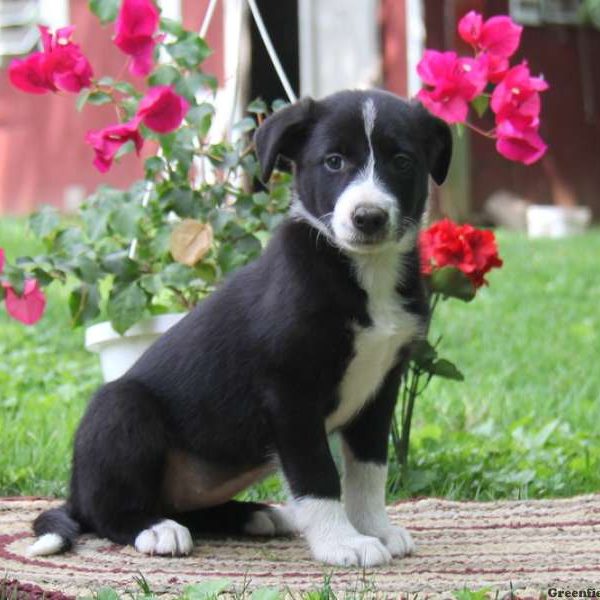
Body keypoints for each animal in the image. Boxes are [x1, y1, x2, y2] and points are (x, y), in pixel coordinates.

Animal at [29, 89, 450, 568]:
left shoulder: (380, 388)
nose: (369, 217)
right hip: (120, 409)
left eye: (402, 161)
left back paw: (258, 515)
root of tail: (74, 494)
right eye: (334, 161)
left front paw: (374, 528)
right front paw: (341, 542)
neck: (364, 272)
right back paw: (154, 529)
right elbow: (317, 473)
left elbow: (368, 470)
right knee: (107, 511)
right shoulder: (289, 392)